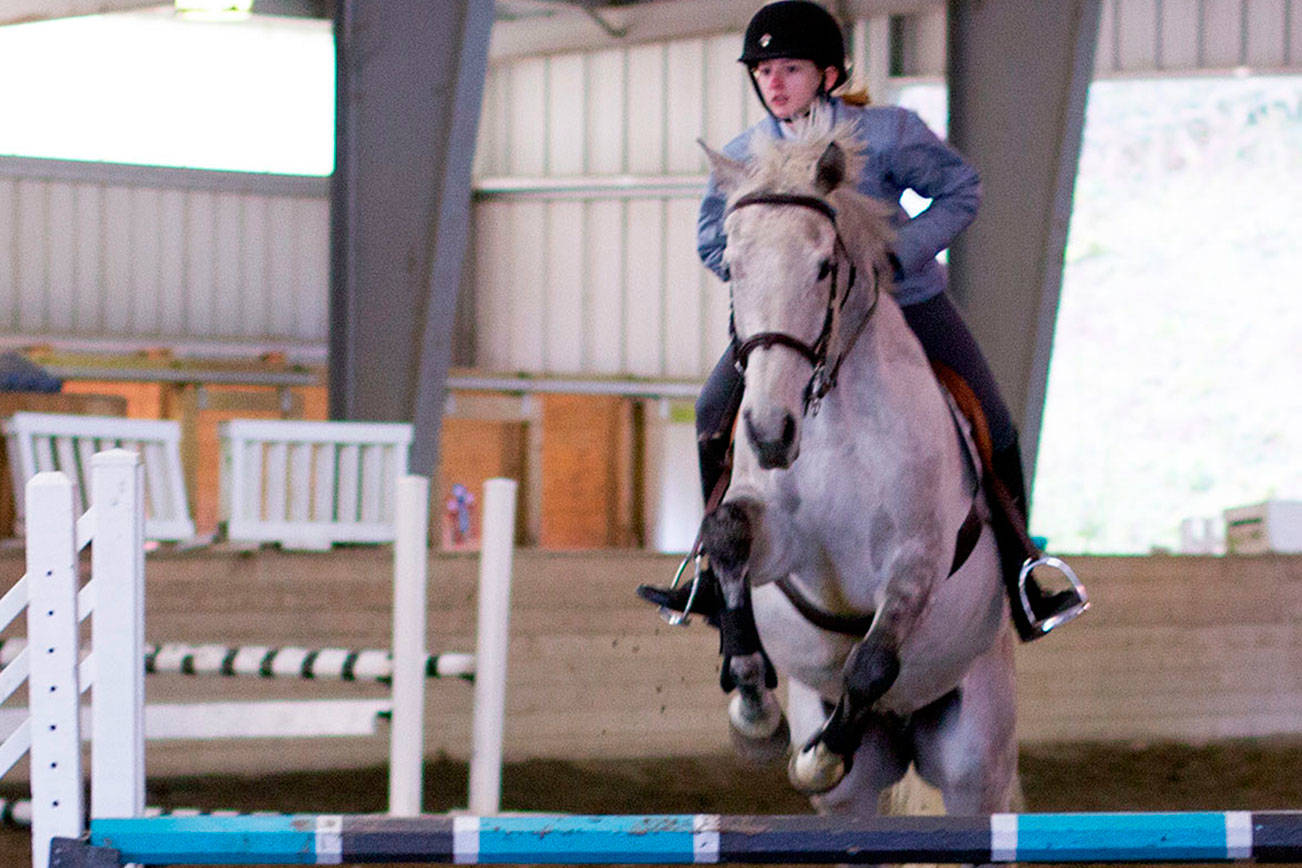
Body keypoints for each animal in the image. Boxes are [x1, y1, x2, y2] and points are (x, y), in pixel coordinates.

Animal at [697, 117, 1020, 827]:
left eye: (823, 266)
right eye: (732, 266)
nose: (769, 432)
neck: (832, 418)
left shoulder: (916, 557)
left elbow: (872, 661)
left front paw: (817, 754)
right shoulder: (779, 546)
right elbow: (730, 538)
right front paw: (754, 712)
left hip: (973, 760)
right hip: (858, 790)